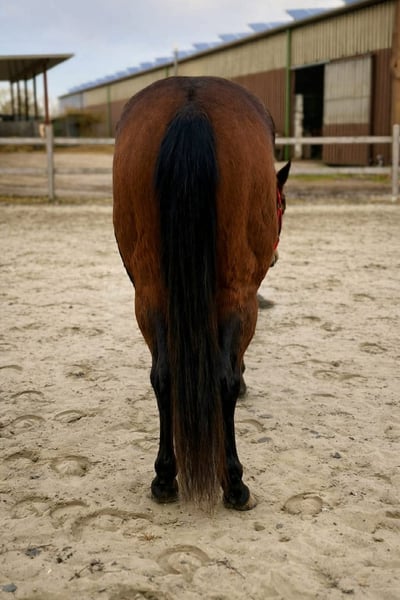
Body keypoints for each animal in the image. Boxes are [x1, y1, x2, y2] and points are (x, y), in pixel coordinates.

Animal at [113, 76, 290, 510]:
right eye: (281, 204)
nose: (276, 258)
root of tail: (191, 104)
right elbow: (231, 370)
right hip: (238, 294)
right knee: (223, 377)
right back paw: (235, 484)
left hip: (150, 294)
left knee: (164, 374)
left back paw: (164, 478)